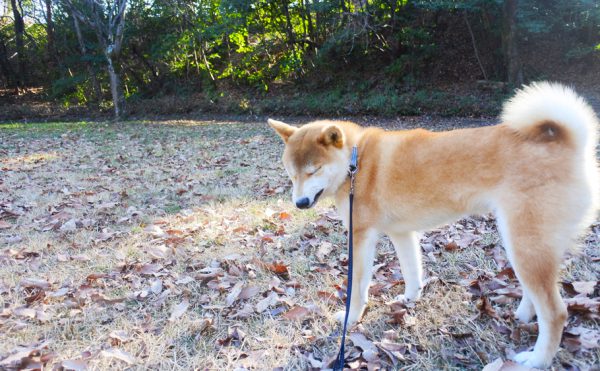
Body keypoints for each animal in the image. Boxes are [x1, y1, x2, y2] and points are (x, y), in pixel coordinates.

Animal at [270, 81, 600, 370]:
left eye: (313, 171)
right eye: (291, 173)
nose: (299, 203)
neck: (356, 161)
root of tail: (571, 143)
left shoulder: (361, 236)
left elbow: (358, 289)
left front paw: (351, 319)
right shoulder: (401, 232)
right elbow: (411, 271)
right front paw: (409, 300)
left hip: (525, 244)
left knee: (556, 313)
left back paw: (537, 359)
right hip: (522, 243)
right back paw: (522, 316)